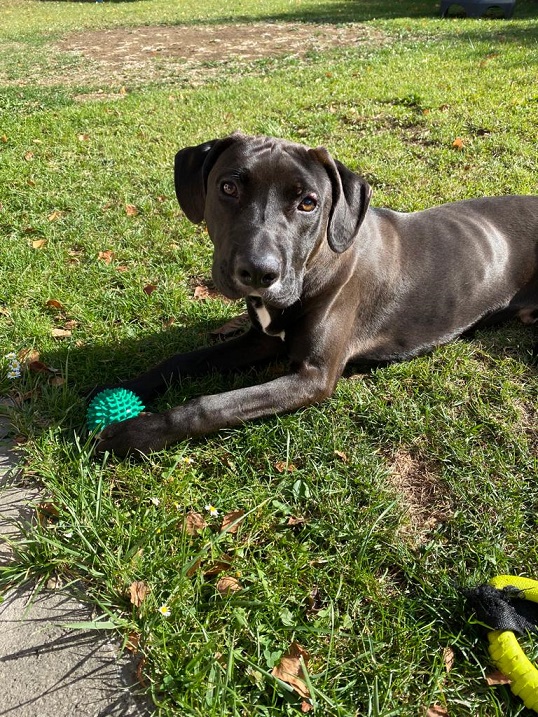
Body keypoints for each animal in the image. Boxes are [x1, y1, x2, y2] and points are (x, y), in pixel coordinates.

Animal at [95, 133, 538, 456]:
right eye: (228, 187)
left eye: (308, 203)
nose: (258, 272)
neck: (311, 270)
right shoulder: (259, 341)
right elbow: (184, 359)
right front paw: (123, 387)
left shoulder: (313, 376)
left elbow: (212, 404)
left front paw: (136, 432)